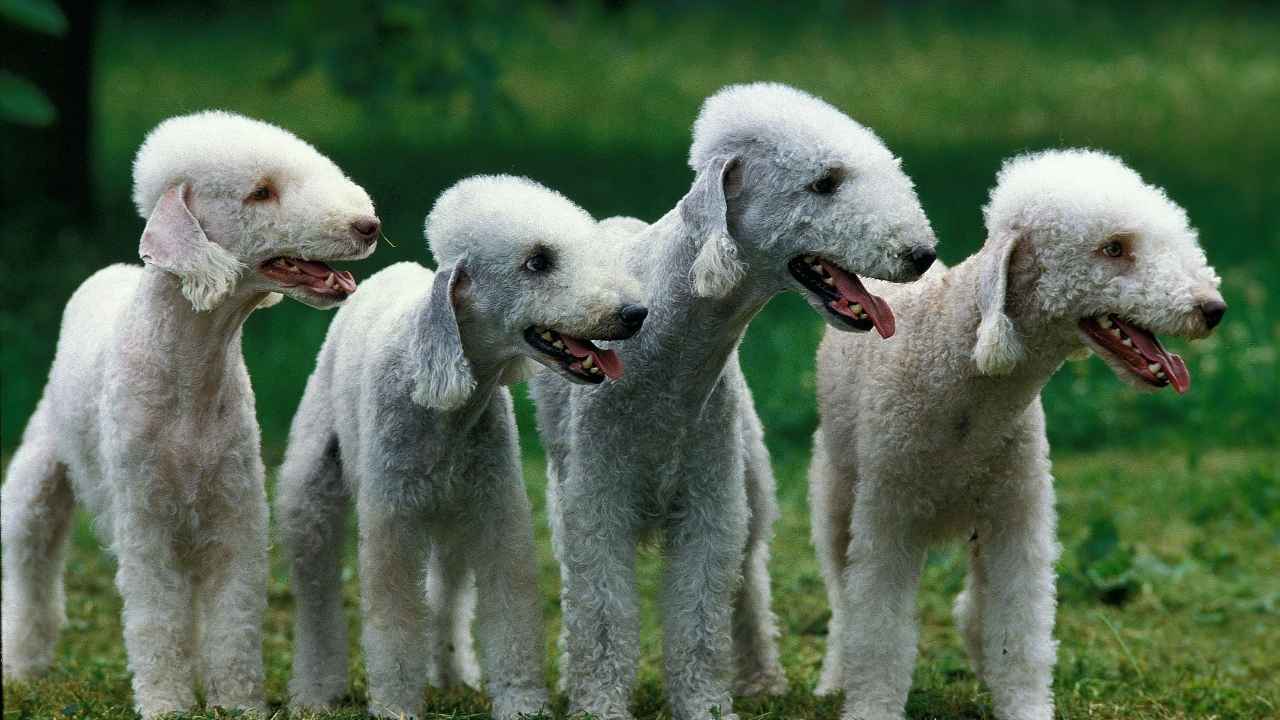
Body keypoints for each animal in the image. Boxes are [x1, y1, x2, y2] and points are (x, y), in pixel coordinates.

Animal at [0, 109, 376, 712]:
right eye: (261, 192)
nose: (368, 225)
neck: (189, 370)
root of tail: (106, 275)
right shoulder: (146, 521)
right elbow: (156, 619)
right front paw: (166, 704)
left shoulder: (234, 513)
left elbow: (234, 619)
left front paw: (237, 705)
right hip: (39, 472)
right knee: (31, 561)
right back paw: (21, 666)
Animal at [276, 174, 645, 717]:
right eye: (537, 261)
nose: (634, 314)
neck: (443, 403)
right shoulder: (392, 524)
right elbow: (393, 619)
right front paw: (397, 706)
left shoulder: (496, 514)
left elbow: (510, 612)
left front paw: (521, 704)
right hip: (312, 489)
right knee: (317, 592)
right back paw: (316, 689)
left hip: (452, 518)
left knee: (446, 591)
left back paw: (451, 674)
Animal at [814, 148, 1223, 717]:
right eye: (1113, 248)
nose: (1213, 309)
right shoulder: (888, 517)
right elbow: (877, 632)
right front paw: (871, 707)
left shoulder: (1017, 515)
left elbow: (1020, 631)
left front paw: (1025, 705)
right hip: (836, 487)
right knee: (841, 597)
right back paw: (833, 679)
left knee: (973, 606)